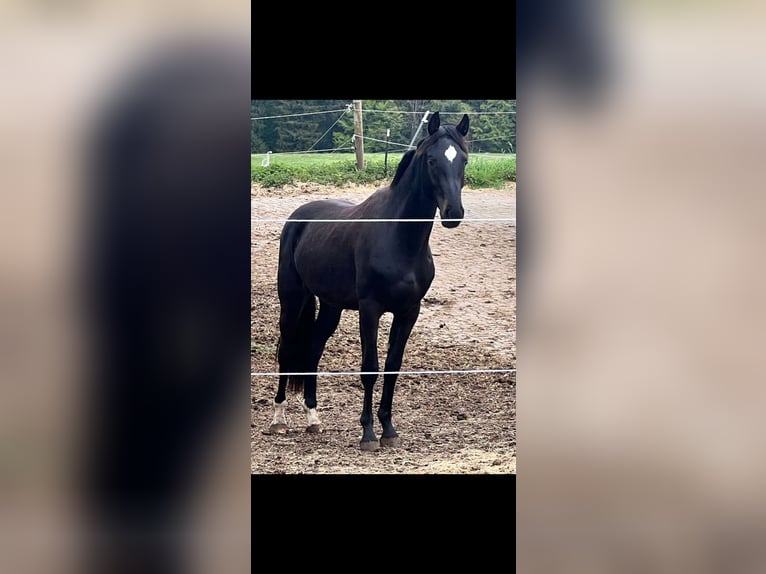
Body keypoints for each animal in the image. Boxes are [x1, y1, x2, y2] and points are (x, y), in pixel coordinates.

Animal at [272, 112, 472, 452]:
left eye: (464, 160)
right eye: (432, 160)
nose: (453, 213)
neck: (399, 237)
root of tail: (298, 217)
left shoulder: (409, 311)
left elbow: (392, 368)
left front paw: (388, 430)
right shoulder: (370, 309)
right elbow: (370, 368)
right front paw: (367, 433)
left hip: (330, 306)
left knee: (313, 347)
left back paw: (313, 418)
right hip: (292, 300)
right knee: (286, 348)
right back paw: (279, 419)